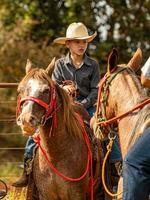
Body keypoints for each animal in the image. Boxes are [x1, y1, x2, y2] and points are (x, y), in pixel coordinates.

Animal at [16, 58, 103, 199]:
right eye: (20, 89)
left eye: (46, 90)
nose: (26, 121)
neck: (56, 155)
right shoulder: (45, 194)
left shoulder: (77, 194)